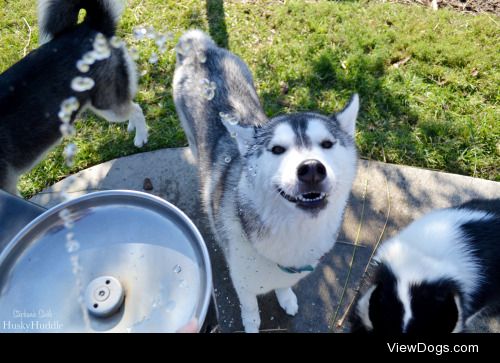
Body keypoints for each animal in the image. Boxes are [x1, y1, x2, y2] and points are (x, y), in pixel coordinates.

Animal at [0, 0, 148, 195]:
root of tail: (91, 25)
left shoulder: (7, 186)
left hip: (106, 104)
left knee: (135, 108)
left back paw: (141, 136)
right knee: (129, 103)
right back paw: (132, 126)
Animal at [173, 30, 360, 332]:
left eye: (327, 144)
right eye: (277, 149)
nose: (311, 169)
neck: (294, 232)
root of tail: (202, 50)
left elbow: (283, 287)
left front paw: (286, 297)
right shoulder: (242, 281)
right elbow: (250, 306)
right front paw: (251, 323)